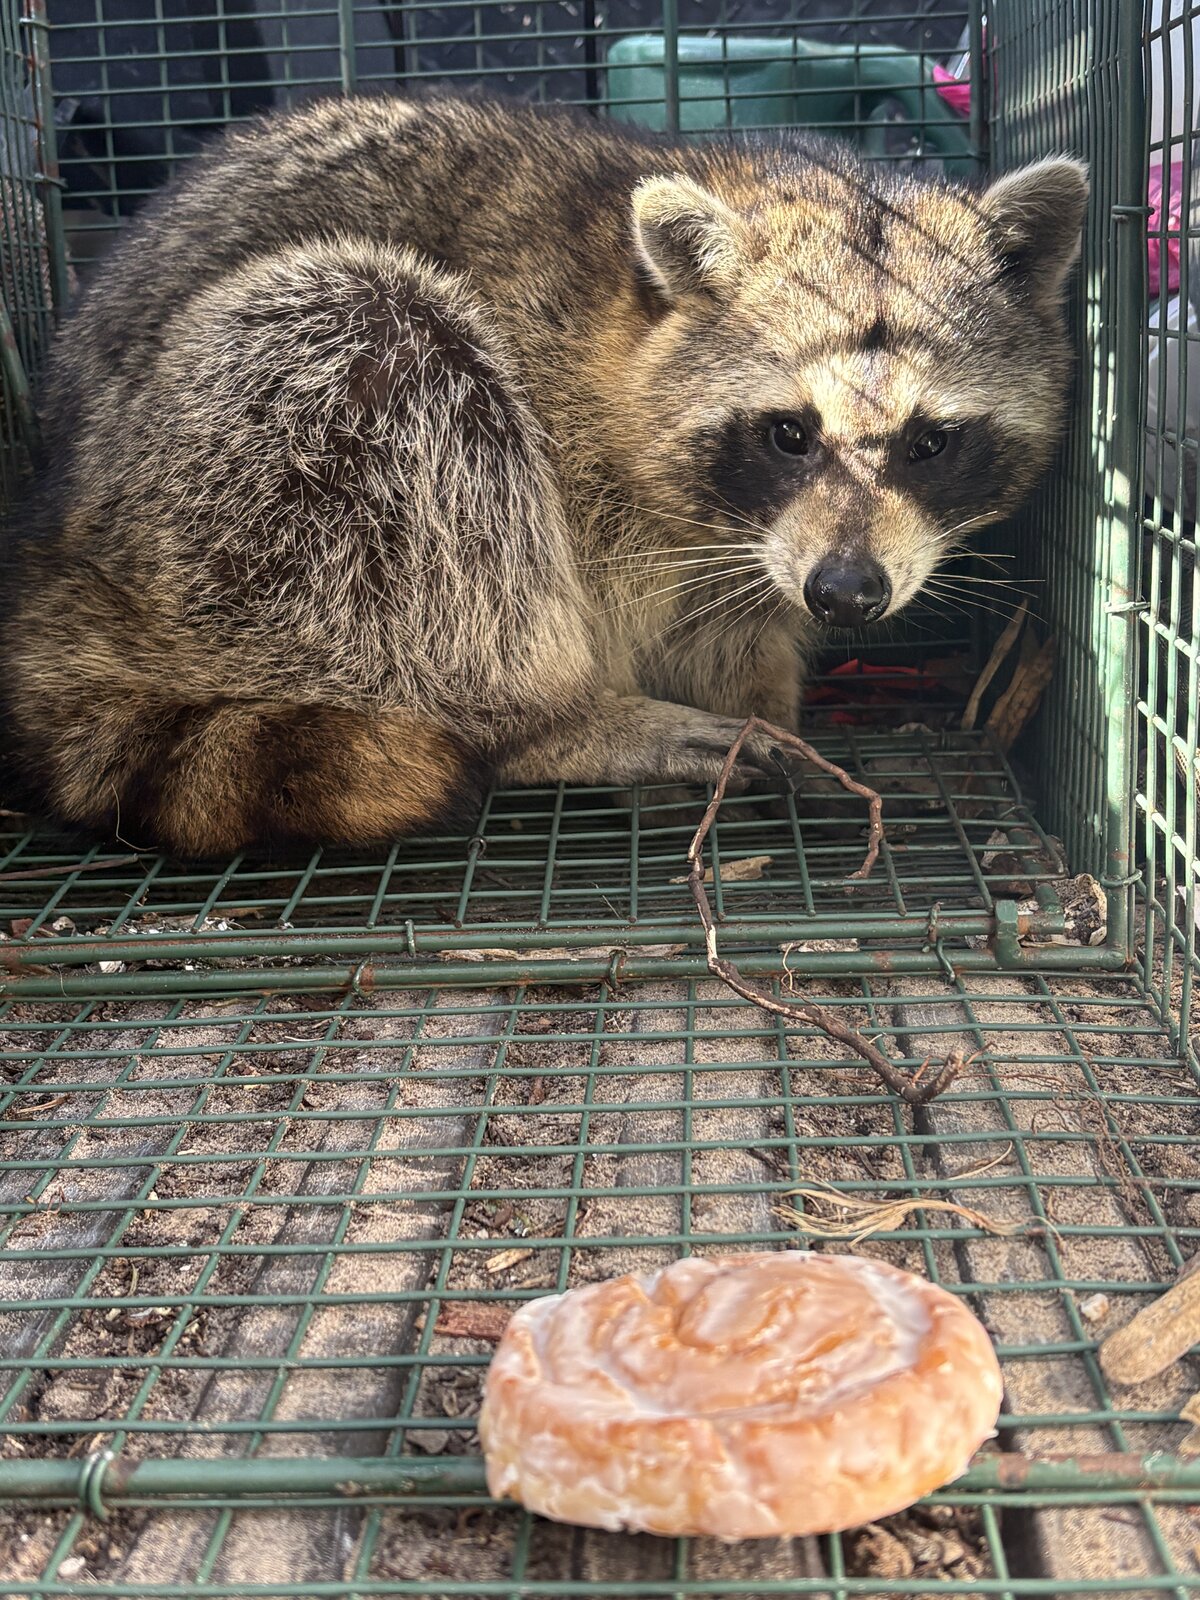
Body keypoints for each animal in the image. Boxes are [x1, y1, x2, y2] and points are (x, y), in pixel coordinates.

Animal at [0, 94, 1087, 856]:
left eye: (928, 442)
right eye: (789, 434)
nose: (849, 593)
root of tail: (58, 551)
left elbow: (733, 624)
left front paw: (765, 695)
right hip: (226, 476)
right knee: (399, 376)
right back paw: (554, 721)